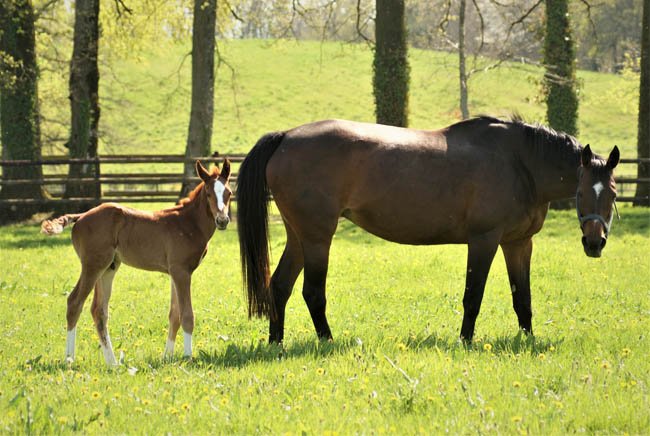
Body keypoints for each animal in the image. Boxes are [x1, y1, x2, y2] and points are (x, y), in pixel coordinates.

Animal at [41, 160, 233, 366]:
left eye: (229, 193)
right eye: (208, 193)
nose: (222, 220)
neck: (188, 223)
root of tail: (80, 216)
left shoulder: (175, 272)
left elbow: (174, 315)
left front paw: (167, 357)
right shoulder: (181, 271)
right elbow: (187, 315)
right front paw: (187, 358)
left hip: (108, 268)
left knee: (99, 310)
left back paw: (113, 364)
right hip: (93, 265)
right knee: (75, 302)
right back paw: (70, 359)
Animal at [236, 117, 620, 344]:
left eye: (613, 193)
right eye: (582, 192)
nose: (595, 243)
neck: (519, 163)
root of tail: (286, 137)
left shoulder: (518, 243)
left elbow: (521, 298)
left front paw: (528, 340)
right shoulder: (484, 240)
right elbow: (473, 296)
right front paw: (465, 341)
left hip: (299, 237)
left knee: (280, 286)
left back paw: (276, 342)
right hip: (318, 238)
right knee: (312, 292)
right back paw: (327, 341)